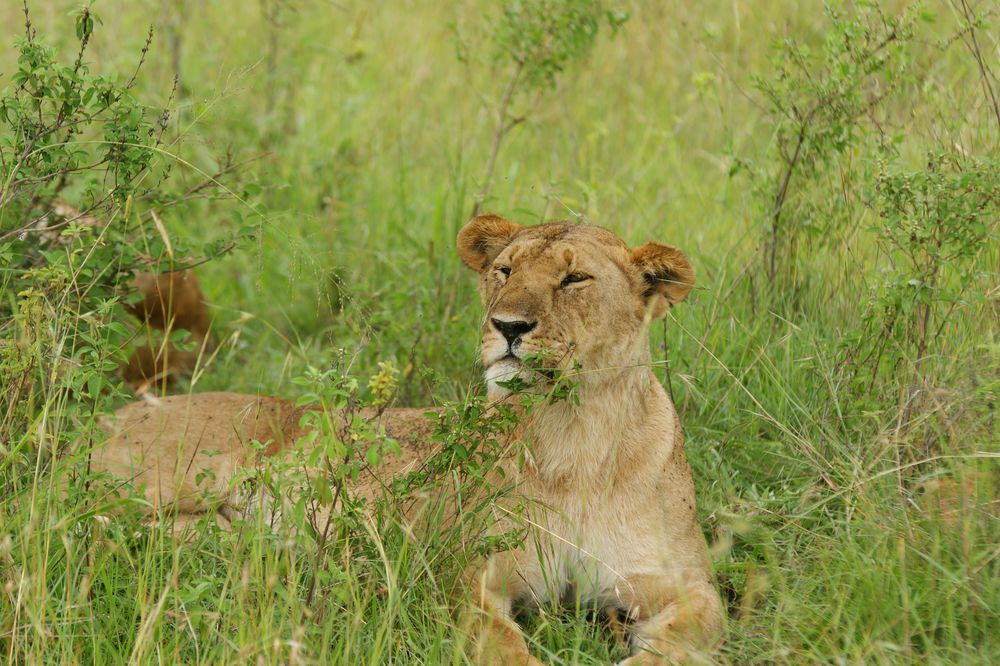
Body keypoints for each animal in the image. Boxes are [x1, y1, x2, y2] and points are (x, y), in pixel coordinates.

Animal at [97, 215, 724, 660]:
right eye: (504, 271)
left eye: (575, 279)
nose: (508, 326)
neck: (575, 433)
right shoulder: (462, 575)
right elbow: (503, 647)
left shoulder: (686, 586)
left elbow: (687, 636)